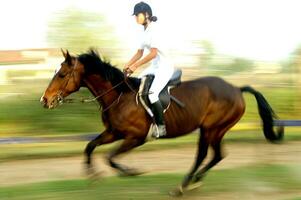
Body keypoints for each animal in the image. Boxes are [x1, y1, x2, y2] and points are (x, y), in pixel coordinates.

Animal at [40, 49, 284, 196]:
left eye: (62, 74)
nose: (44, 100)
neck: (118, 95)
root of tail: (236, 89)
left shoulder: (135, 138)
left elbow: (110, 157)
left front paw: (131, 171)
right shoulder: (113, 132)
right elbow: (90, 147)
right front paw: (93, 176)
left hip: (211, 128)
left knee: (204, 155)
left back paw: (183, 186)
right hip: (214, 130)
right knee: (217, 155)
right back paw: (194, 181)